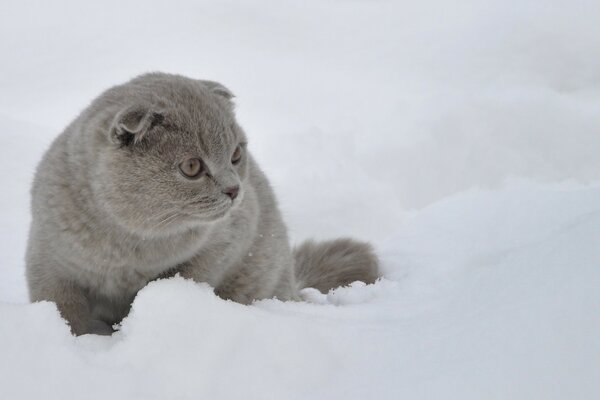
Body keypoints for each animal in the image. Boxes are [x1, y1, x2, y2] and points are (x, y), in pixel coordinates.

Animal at [25, 72, 380, 334]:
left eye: (236, 154)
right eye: (192, 167)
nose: (234, 189)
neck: (129, 246)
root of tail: (293, 282)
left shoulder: (225, 240)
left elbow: (189, 275)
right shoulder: (49, 257)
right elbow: (63, 307)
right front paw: (80, 340)